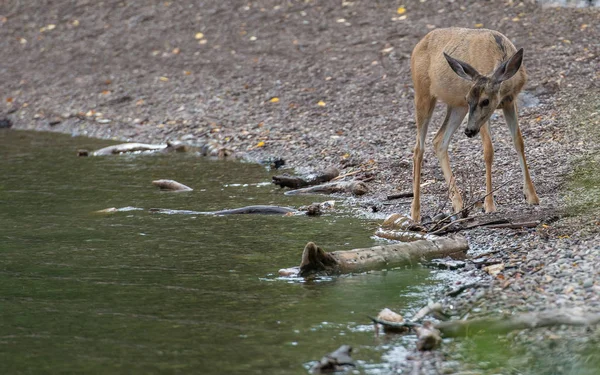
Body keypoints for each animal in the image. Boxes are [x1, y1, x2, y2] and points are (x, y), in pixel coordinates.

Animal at [410, 28, 540, 223]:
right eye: (468, 98)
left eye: (485, 101)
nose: (469, 131)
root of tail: (417, 46)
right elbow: (488, 150)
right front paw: (489, 205)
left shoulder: (509, 102)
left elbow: (519, 142)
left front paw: (532, 196)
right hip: (423, 93)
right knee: (419, 148)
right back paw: (415, 212)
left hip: (456, 107)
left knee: (439, 140)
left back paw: (458, 204)